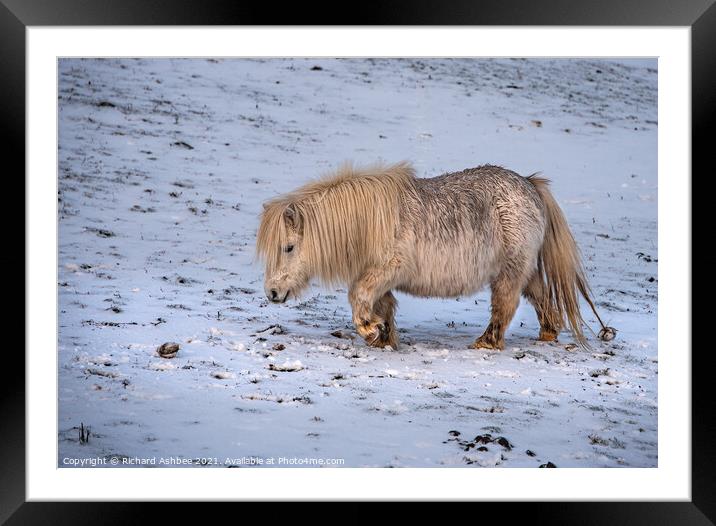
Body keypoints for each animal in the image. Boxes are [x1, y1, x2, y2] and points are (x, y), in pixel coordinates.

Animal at [258, 162, 608, 350]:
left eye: (288, 247)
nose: (272, 292)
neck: (368, 223)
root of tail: (530, 185)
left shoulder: (386, 269)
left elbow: (359, 296)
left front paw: (370, 330)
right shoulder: (381, 277)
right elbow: (383, 305)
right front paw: (383, 336)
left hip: (509, 273)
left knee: (505, 306)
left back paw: (486, 342)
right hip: (525, 270)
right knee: (542, 300)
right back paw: (547, 333)